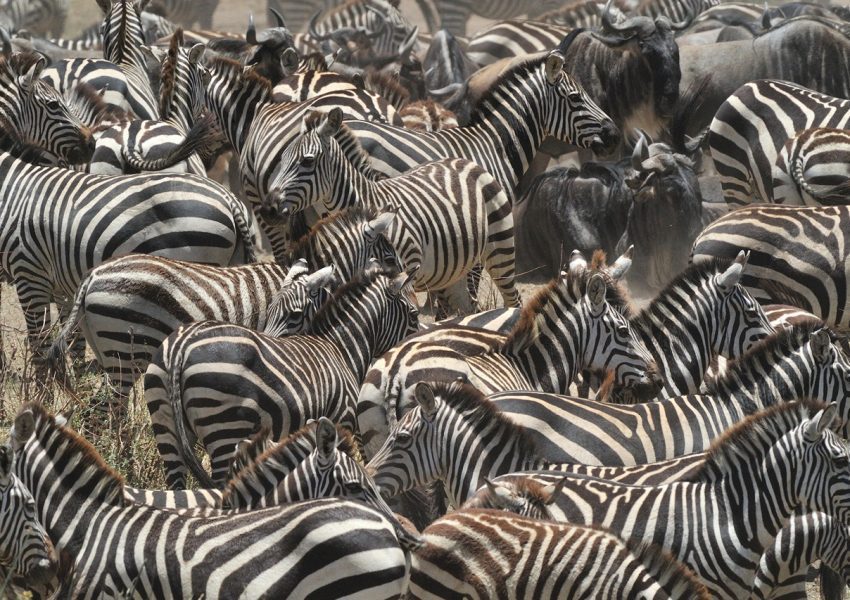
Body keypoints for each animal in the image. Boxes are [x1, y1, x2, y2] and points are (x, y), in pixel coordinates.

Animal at [144, 266, 419, 488]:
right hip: (224, 427)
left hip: (165, 425)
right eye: (415, 315)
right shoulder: (342, 420)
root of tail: (181, 344)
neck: (340, 348)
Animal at [265, 108, 521, 311]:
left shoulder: (407, 268)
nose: (269, 208)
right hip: (451, 271)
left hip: (500, 249)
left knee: (514, 300)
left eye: (307, 161)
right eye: (282, 159)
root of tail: (464, 161)